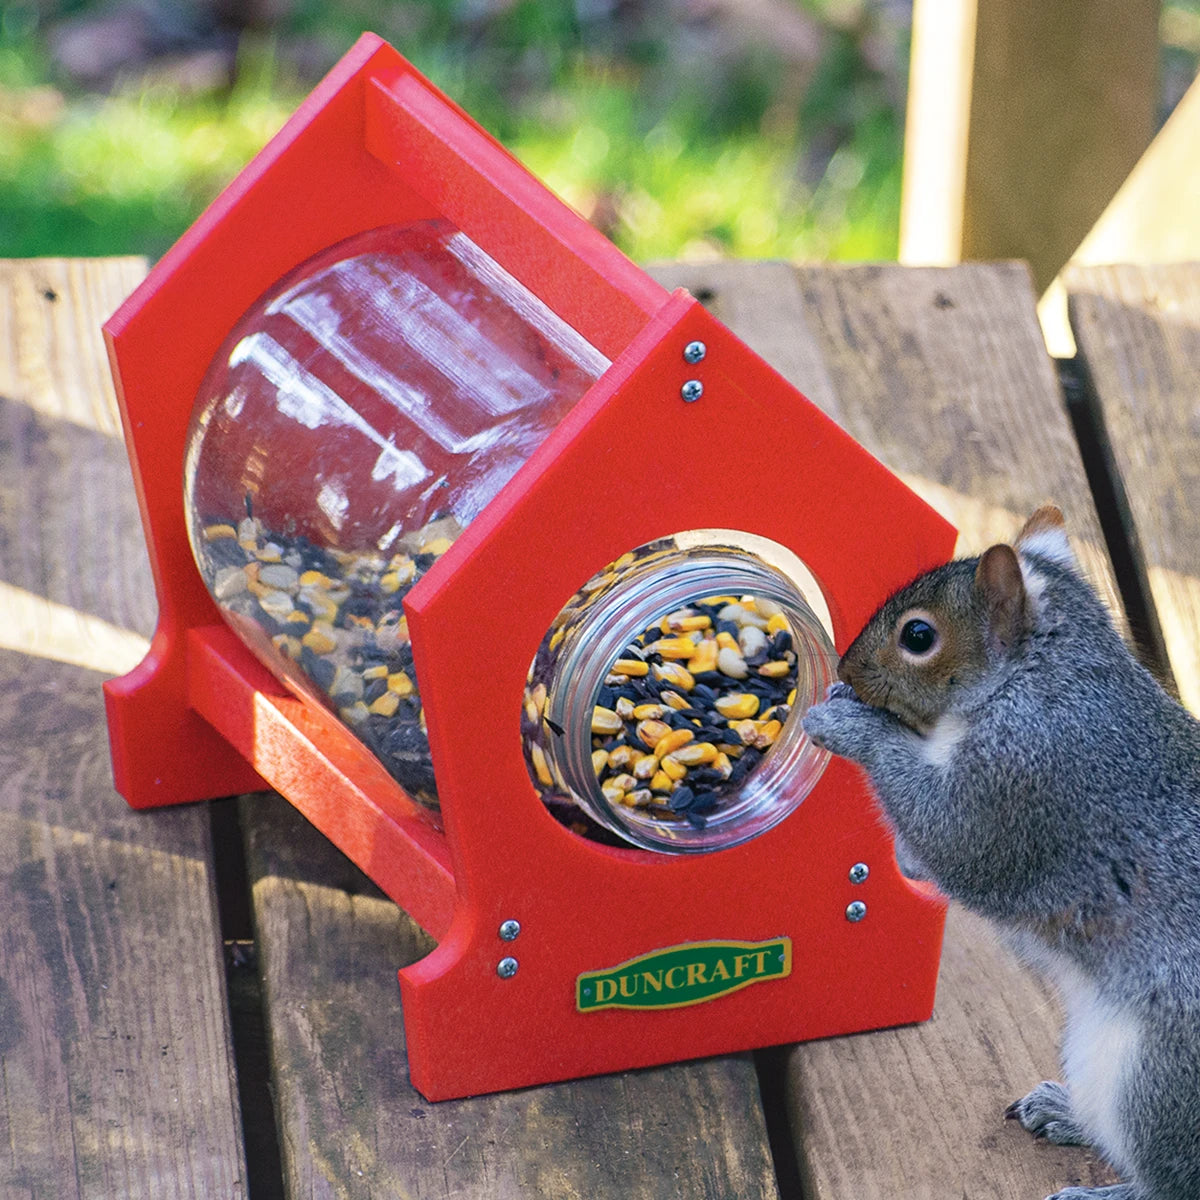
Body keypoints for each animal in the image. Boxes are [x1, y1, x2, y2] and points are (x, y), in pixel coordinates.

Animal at [802, 505, 1200, 1200]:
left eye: (917, 636)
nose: (846, 673)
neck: (1036, 675)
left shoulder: (1023, 778)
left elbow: (954, 838)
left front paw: (851, 727)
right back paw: (1065, 1111)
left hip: (1157, 1078)